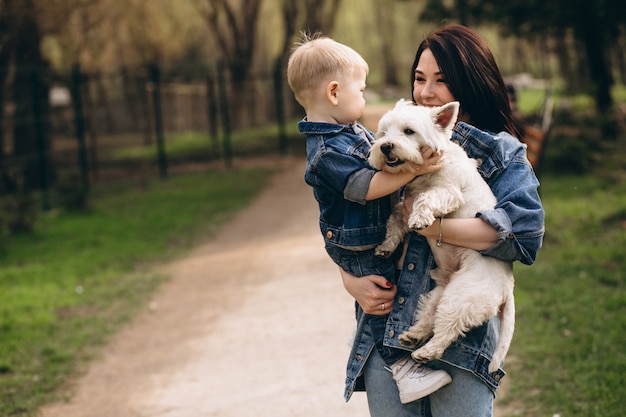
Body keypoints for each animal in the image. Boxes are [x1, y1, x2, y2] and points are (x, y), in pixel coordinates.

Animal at [368, 99, 510, 372]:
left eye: (409, 131)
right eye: (384, 132)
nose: (386, 146)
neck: (422, 174)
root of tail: (508, 286)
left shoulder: (449, 192)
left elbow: (426, 198)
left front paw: (420, 219)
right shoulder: (404, 204)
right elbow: (395, 221)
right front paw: (386, 246)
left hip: (462, 296)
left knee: (448, 329)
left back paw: (426, 352)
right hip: (439, 295)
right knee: (430, 318)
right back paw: (412, 336)